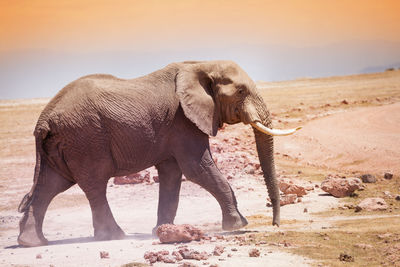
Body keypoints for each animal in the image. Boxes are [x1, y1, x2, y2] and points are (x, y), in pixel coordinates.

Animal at [18, 60, 300, 247]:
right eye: (241, 91)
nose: (275, 224)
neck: (201, 65)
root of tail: (43, 120)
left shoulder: (175, 126)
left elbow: (172, 174)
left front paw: (161, 231)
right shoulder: (183, 120)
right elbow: (197, 168)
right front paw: (239, 225)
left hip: (63, 143)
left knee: (51, 185)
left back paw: (32, 242)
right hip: (85, 138)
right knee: (94, 184)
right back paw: (114, 236)